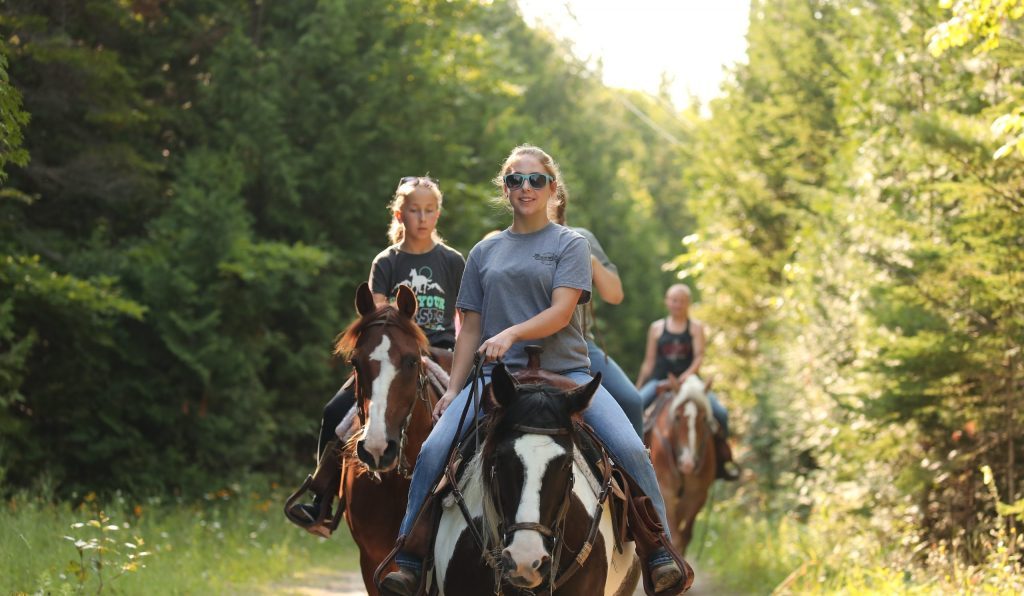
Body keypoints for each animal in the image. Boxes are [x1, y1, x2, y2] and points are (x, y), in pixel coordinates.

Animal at [643, 376, 716, 557]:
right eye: (677, 417)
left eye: (704, 419)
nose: (688, 463)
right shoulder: (666, 492)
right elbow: (673, 536)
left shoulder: (696, 496)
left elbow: (684, 537)